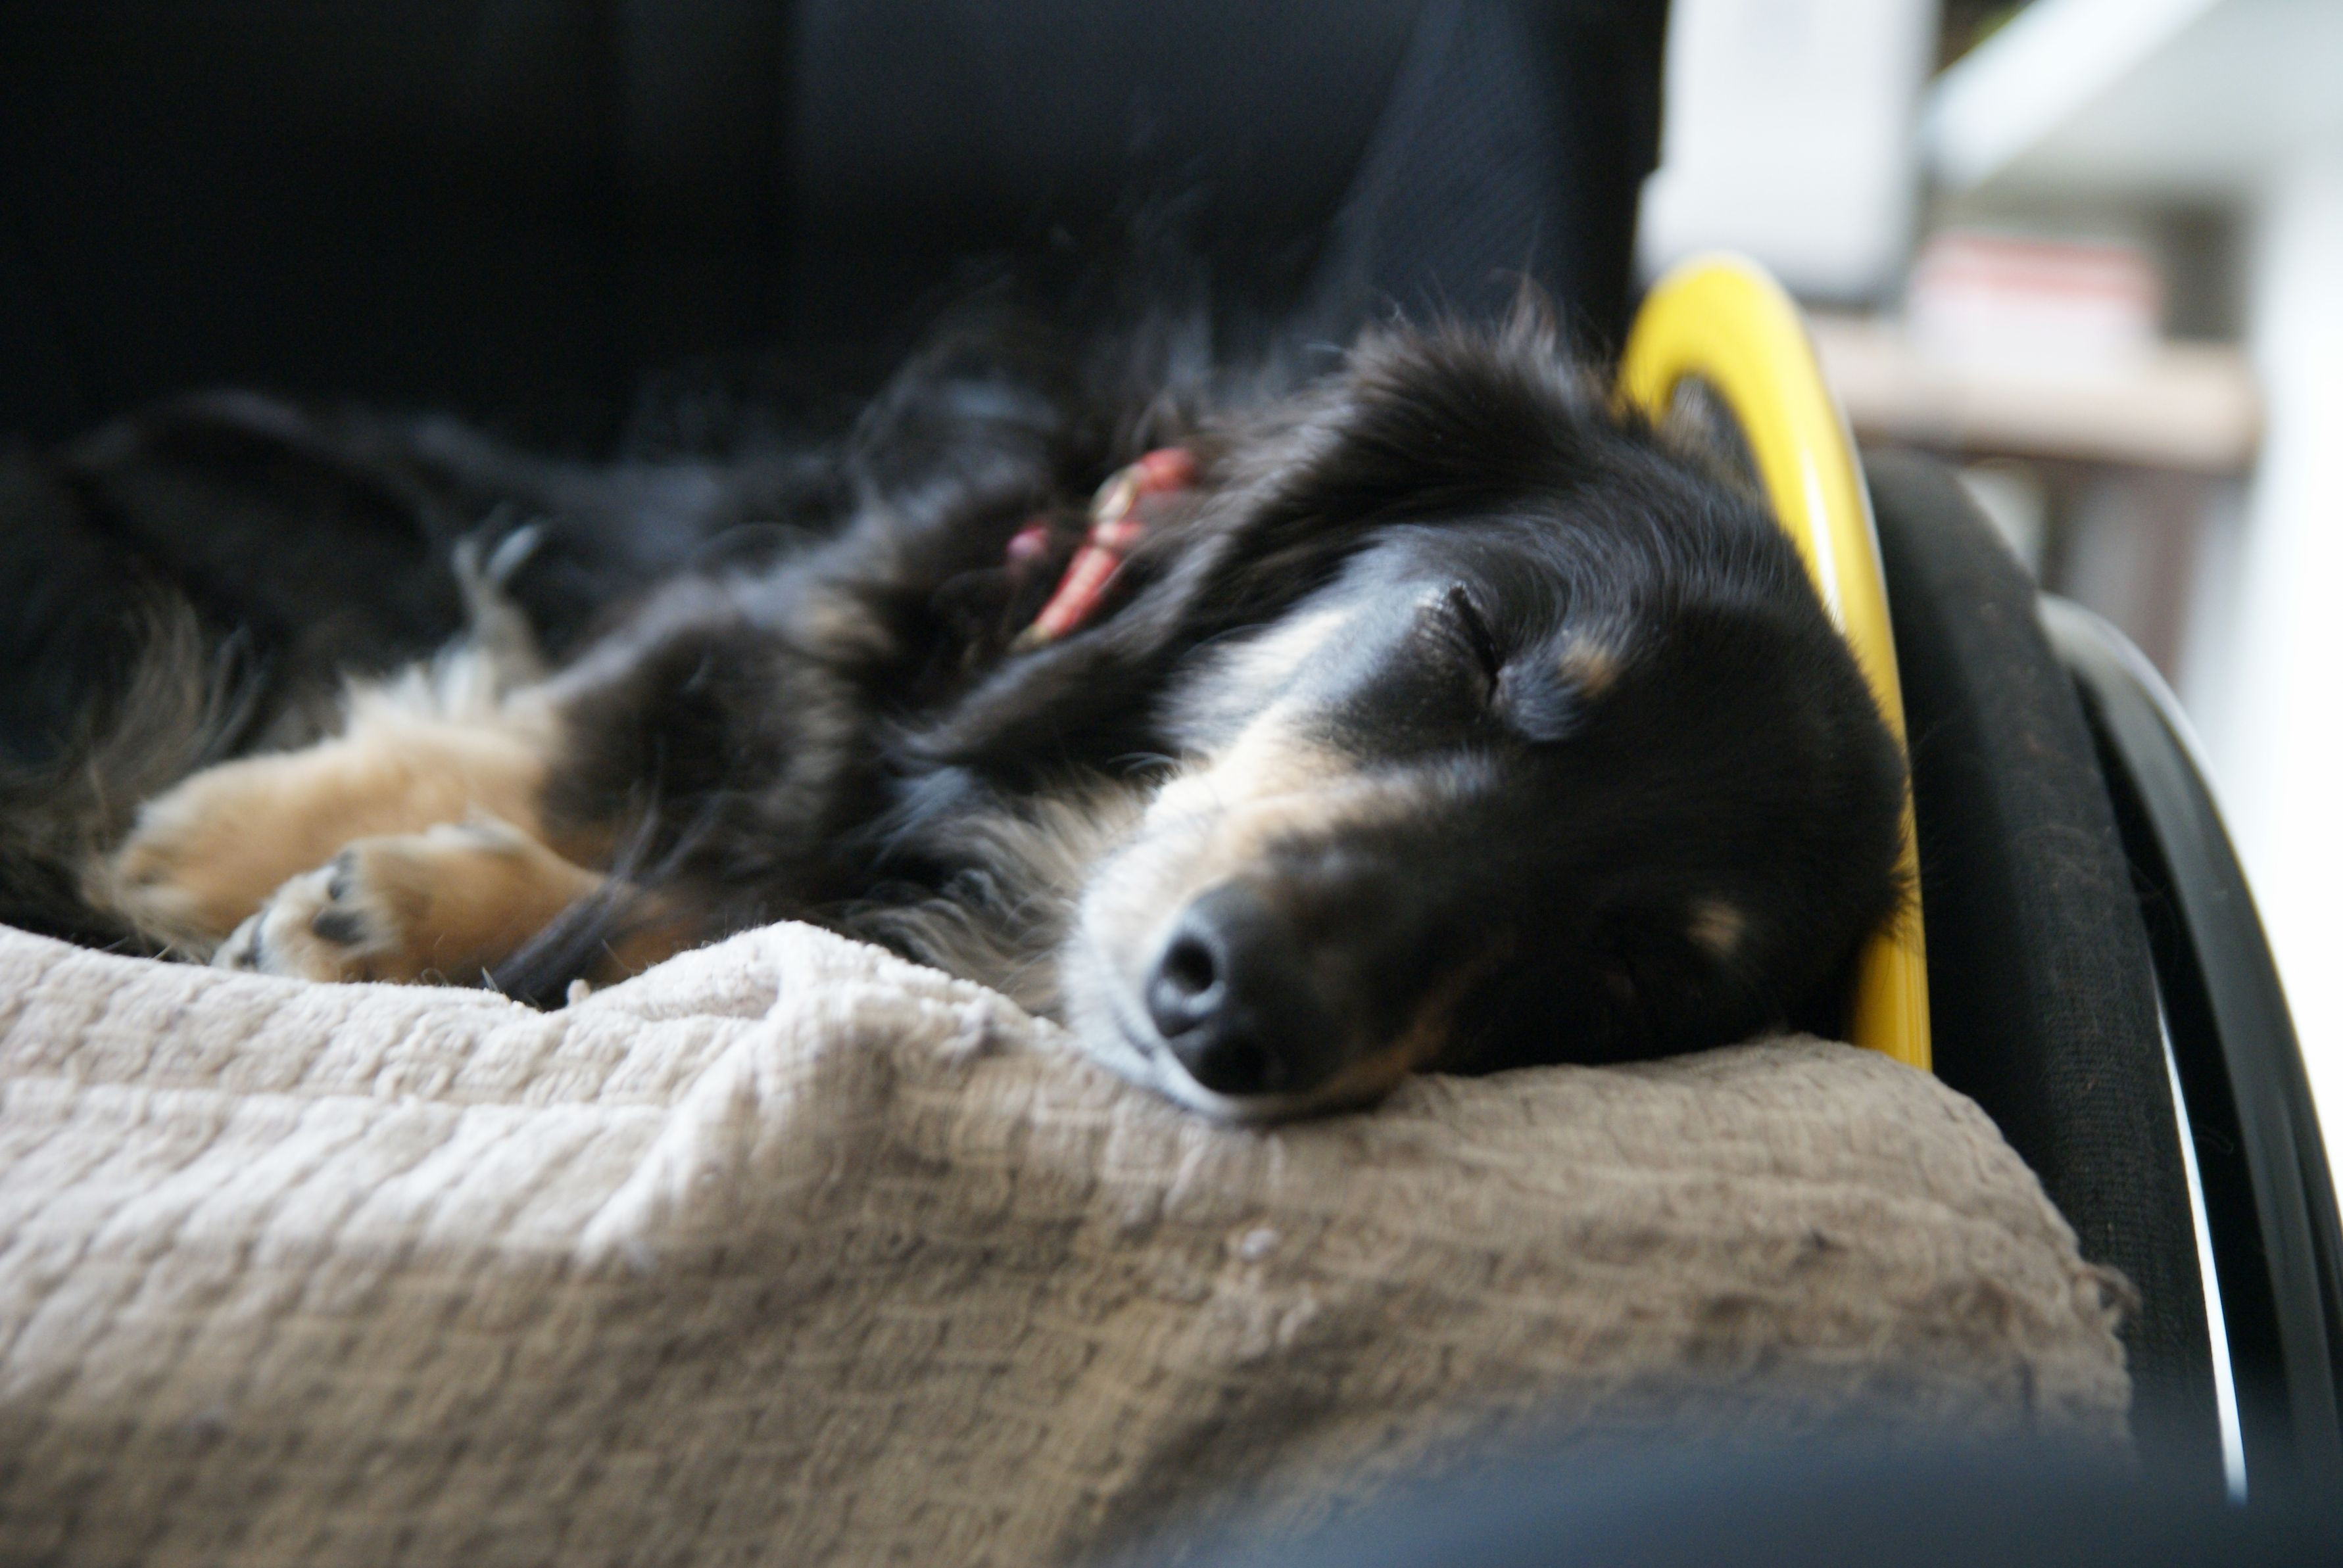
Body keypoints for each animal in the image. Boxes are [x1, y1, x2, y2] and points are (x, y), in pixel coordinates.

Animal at [2, 306, 1906, 1122]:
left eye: (1628, 973)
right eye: (1477, 646)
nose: (1239, 1011)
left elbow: (709, 907)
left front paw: (401, 911)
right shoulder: (799, 606)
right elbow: (576, 734)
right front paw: (228, 841)